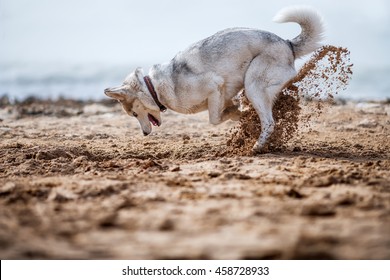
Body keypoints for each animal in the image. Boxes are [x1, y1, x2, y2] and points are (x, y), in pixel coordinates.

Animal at [103, 5, 322, 152]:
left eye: (133, 114)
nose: (145, 134)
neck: (154, 88)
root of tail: (287, 44)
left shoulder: (214, 85)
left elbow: (215, 119)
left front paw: (238, 114)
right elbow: (225, 112)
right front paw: (238, 112)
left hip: (253, 86)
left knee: (269, 122)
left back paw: (257, 146)